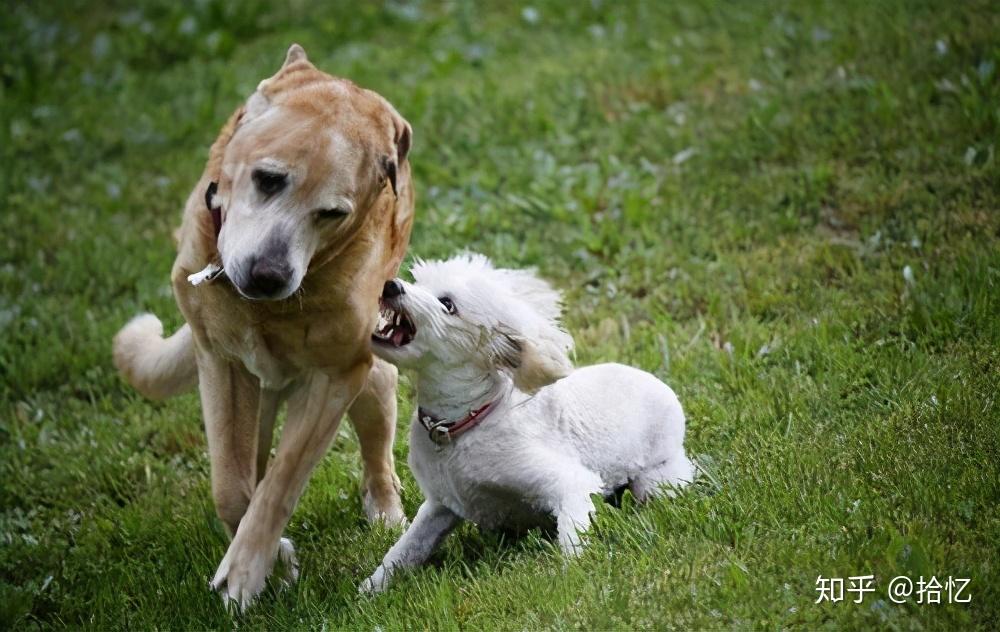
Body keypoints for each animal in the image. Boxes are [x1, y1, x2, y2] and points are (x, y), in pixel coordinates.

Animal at [113, 44, 414, 608]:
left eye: (331, 212)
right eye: (269, 179)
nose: (268, 275)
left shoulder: (335, 377)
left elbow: (281, 484)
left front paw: (247, 571)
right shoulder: (221, 363)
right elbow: (232, 488)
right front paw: (274, 558)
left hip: (369, 386)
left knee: (377, 445)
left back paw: (386, 513)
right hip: (257, 394)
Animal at [360, 253, 696, 592]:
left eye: (447, 304)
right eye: (419, 281)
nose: (390, 285)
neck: (462, 425)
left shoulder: (571, 484)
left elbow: (573, 540)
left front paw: (572, 577)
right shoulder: (440, 506)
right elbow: (404, 551)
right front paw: (370, 590)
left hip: (656, 480)